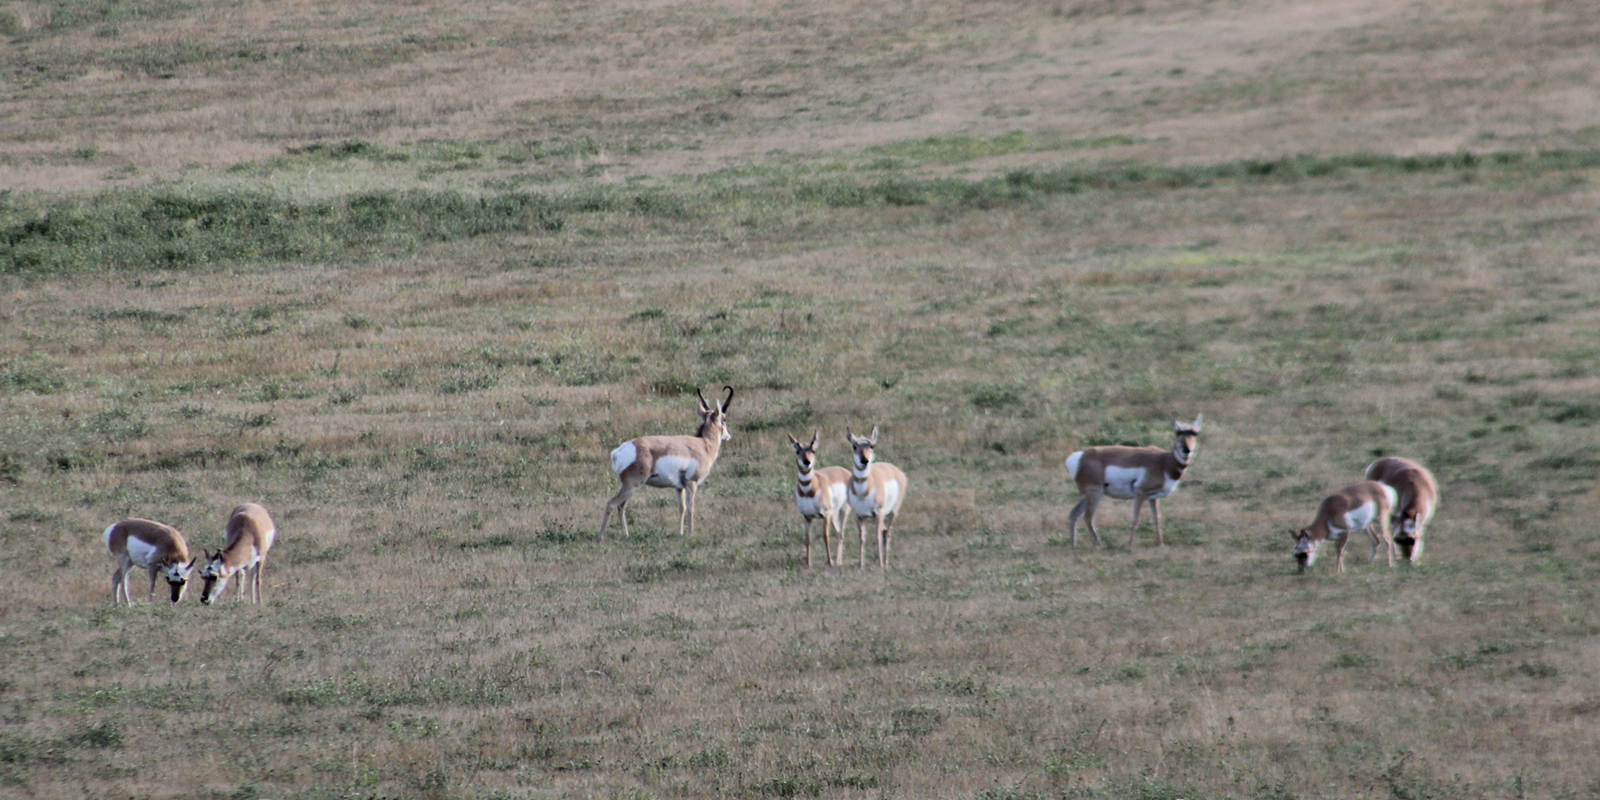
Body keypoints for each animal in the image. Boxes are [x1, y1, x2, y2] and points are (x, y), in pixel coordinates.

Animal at [598, 385, 732, 540]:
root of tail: (620, 450)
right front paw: (690, 534)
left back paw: (626, 535)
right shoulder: (691, 483)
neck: (703, 443)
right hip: (633, 485)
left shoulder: (679, 487)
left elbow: (682, 508)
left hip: (630, 487)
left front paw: (680, 533)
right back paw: (600, 537)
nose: (728, 436)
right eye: (724, 418)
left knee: (621, 505)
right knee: (612, 503)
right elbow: (691, 508)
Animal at [784, 432, 851, 569]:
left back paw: (837, 561)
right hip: (834, 514)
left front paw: (829, 562)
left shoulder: (825, 514)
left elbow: (825, 537)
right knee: (838, 532)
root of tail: (844, 471)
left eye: (813, 450)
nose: (807, 462)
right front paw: (808, 563)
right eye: (797, 451)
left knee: (841, 533)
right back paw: (838, 560)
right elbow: (808, 539)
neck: (809, 490)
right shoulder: (807, 517)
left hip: (843, 511)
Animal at [844, 425, 908, 569]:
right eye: (854, 446)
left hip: (892, 512)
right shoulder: (859, 516)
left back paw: (886, 562)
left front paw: (880, 565)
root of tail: (896, 471)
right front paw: (861, 565)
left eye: (872, 446)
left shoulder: (878, 513)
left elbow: (876, 537)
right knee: (884, 531)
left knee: (887, 532)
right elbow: (861, 538)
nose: (865, 461)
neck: (863, 491)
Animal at [1062, 412, 1203, 550]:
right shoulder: (1140, 492)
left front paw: (1160, 544)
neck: (1164, 461)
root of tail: (1080, 456)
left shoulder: (1153, 497)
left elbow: (1157, 518)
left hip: (1087, 495)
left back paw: (1073, 546)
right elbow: (1135, 518)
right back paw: (1101, 545)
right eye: (1178, 432)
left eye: (1194, 433)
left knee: (1074, 513)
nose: (1186, 450)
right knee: (1088, 517)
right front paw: (1129, 546)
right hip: (1095, 493)